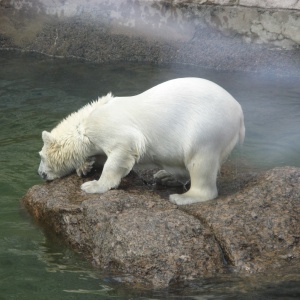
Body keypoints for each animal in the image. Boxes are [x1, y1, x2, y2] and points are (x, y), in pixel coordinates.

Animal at [37, 77, 245, 205]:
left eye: (41, 156)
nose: (40, 173)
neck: (86, 121)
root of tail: (239, 114)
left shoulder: (111, 128)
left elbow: (122, 149)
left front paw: (94, 185)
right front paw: (84, 167)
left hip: (207, 128)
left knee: (200, 161)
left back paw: (183, 196)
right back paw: (166, 176)